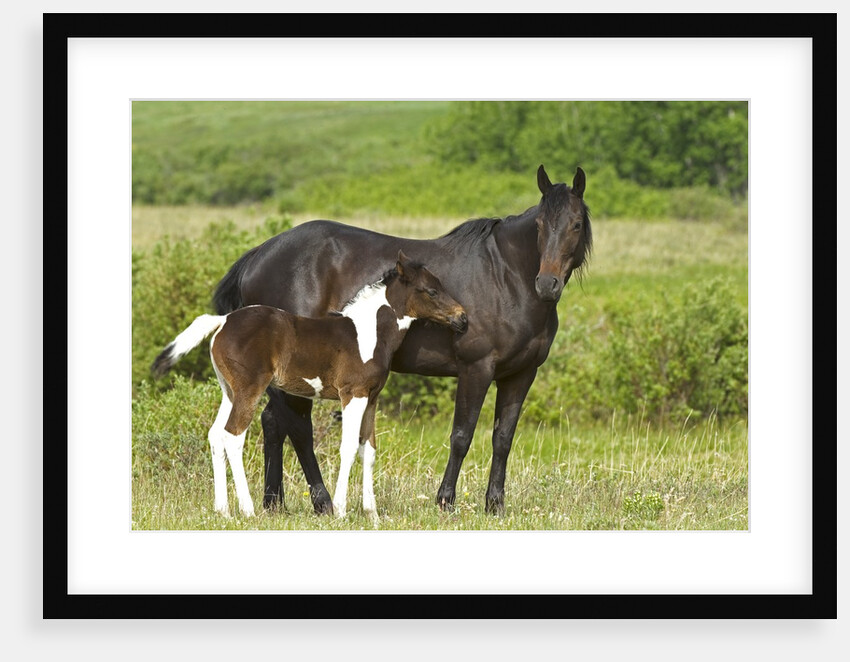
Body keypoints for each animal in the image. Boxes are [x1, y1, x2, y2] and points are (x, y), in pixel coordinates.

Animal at [152, 251, 468, 520]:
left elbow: (368, 449)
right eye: (431, 291)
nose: (463, 318)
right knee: (233, 436)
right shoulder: (352, 394)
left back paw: (223, 511)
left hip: (229, 392)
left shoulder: (371, 397)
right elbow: (348, 447)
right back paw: (248, 510)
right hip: (248, 390)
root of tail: (224, 320)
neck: (368, 333)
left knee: (216, 435)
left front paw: (373, 514)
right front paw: (340, 510)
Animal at [213, 164, 592, 515]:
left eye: (576, 224)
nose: (547, 284)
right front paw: (445, 501)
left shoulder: (521, 375)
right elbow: (461, 435)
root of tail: (259, 254)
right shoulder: (476, 369)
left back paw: (274, 502)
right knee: (298, 428)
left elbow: (503, 438)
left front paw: (495, 505)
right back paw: (322, 502)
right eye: (540, 225)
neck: (506, 278)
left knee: (273, 423)